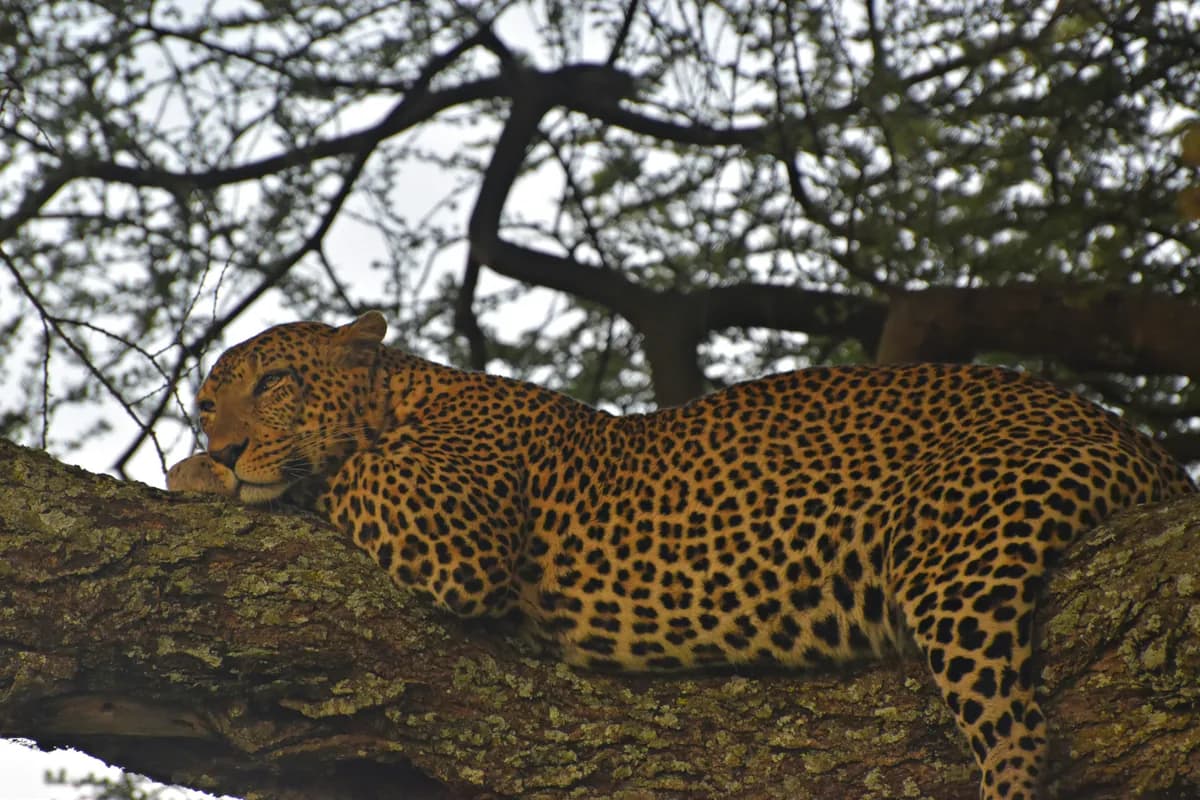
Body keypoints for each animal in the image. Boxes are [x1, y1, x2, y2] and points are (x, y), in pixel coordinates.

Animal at [168, 311, 1195, 800]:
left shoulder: (449, 522)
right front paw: (201, 465)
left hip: (959, 548)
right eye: (205, 402)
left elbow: (331, 474)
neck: (405, 396)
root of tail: (1142, 443)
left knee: (1017, 731)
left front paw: (204, 476)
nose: (221, 441)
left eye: (276, 381)